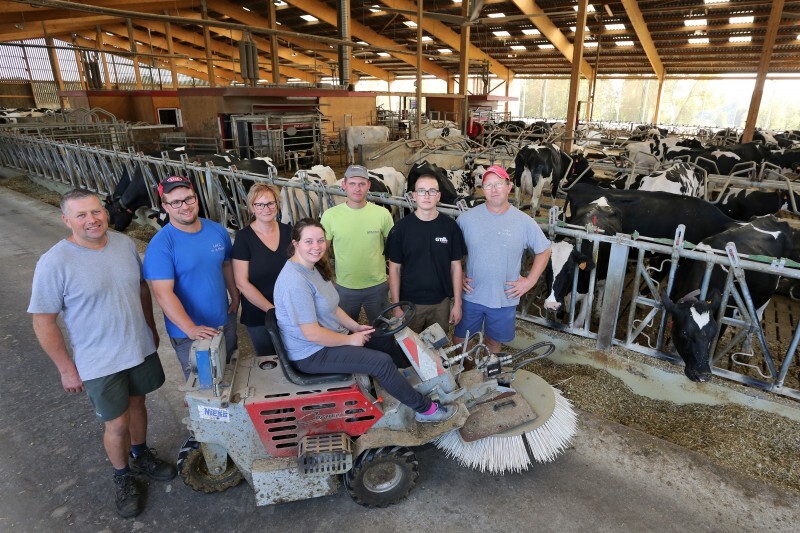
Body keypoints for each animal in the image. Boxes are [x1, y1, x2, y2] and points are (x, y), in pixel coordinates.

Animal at [662, 215, 794, 382]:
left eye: (713, 333)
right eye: (685, 332)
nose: (703, 375)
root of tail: (773, 217)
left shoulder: (724, 315)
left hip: (770, 291)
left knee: (756, 318)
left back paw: (746, 348)